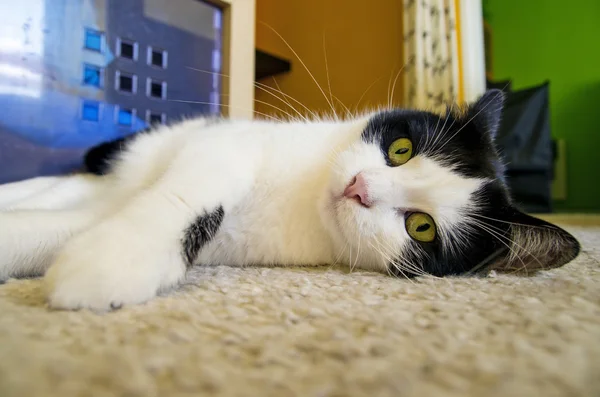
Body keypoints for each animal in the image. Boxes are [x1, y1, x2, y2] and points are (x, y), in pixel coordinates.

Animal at [0, 89, 580, 310]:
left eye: (422, 227)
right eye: (401, 148)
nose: (358, 187)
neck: (302, 194)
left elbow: (47, 233)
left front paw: (105, 254)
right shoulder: (228, 143)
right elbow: (200, 183)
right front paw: (124, 251)